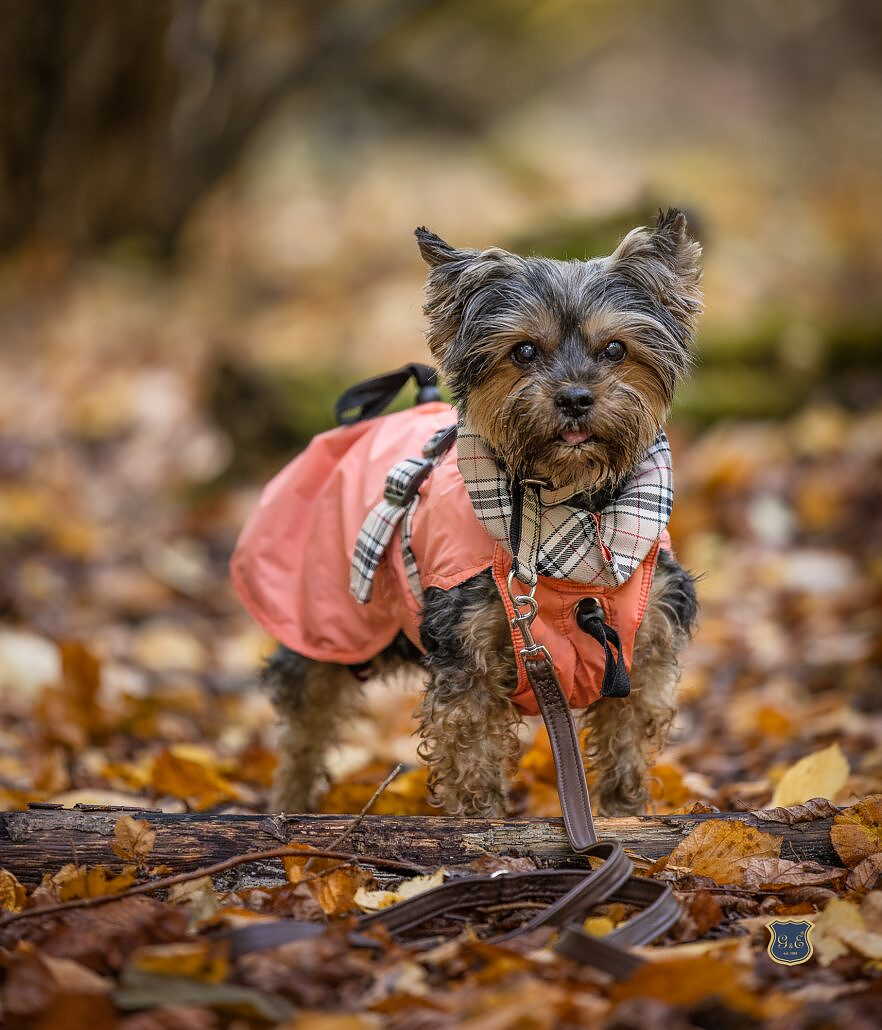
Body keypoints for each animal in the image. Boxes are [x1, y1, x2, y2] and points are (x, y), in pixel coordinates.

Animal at [235, 211, 704, 819]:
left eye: (616, 350)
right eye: (523, 351)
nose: (576, 397)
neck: (569, 510)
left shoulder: (639, 652)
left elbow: (625, 751)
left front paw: (625, 820)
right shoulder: (468, 655)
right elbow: (472, 759)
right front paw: (480, 829)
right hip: (322, 619)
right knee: (303, 729)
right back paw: (288, 809)